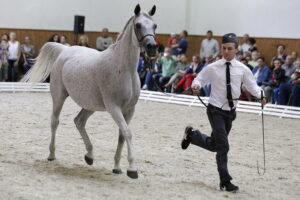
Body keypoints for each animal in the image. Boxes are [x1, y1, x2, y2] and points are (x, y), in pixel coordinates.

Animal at [21, 4, 157, 178]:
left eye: (155, 25)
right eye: (138, 25)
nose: (152, 47)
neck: (124, 68)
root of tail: (64, 50)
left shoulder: (129, 109)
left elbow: (121, 135)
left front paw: (117, 167)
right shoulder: (114, 108)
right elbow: (127, 132)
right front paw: (132, 169)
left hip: (90, 105)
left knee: (79, 121)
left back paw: (89, 156)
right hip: (59, 97)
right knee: (55, 121)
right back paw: (52, 155)